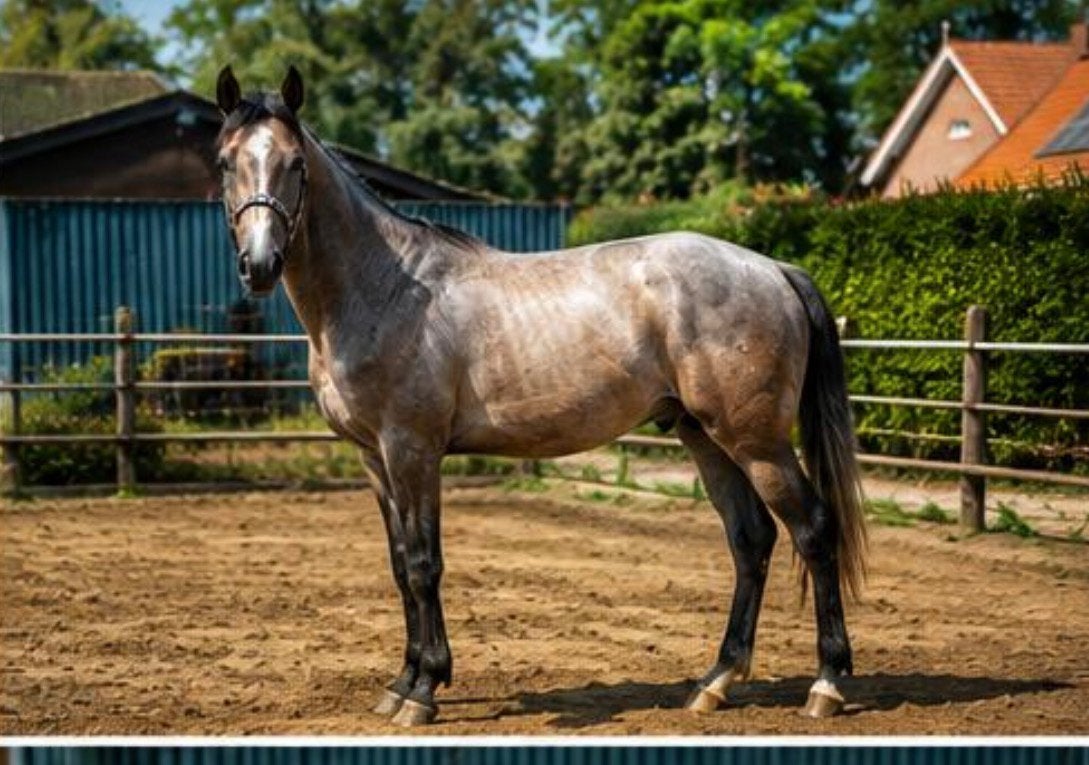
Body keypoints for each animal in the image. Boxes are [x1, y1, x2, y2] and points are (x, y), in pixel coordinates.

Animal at [214, 65, 867, 727]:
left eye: (296, 164)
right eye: (225, 162)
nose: (259, 265)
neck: (388, 288)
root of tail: (773, 269)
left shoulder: (412, 451)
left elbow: (424, 565)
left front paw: (424, 690)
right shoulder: (374, 458)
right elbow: (400, 566)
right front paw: (401, 683)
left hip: (757, 443)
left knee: (814, 530)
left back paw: (827, 684)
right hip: (704, 436)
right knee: (751, 539)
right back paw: (716, 681)